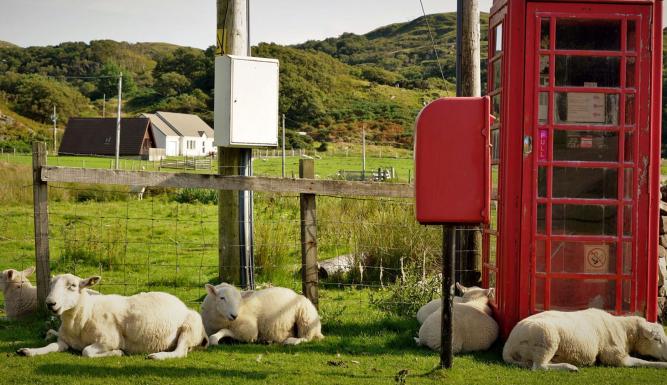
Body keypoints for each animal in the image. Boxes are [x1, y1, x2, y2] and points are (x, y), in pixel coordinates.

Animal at [16, 272, 209, 356]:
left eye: (72, 286)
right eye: (51, 284)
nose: (50, 303)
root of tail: (182, 304)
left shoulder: (109, 340)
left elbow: (86, 351)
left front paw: (117, 353)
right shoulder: (64, 341)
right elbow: (51, 346)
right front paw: (29, 350)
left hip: (190, 327)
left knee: (181, 352)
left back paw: (158, 355)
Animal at [504, 306, 667, 372]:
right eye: (657, 339)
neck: (623, 330)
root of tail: (508, 347)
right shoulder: (615, 357)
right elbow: (642, 362)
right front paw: (663, 365)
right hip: (546, 339)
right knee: (539, 367)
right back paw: (570, 368)